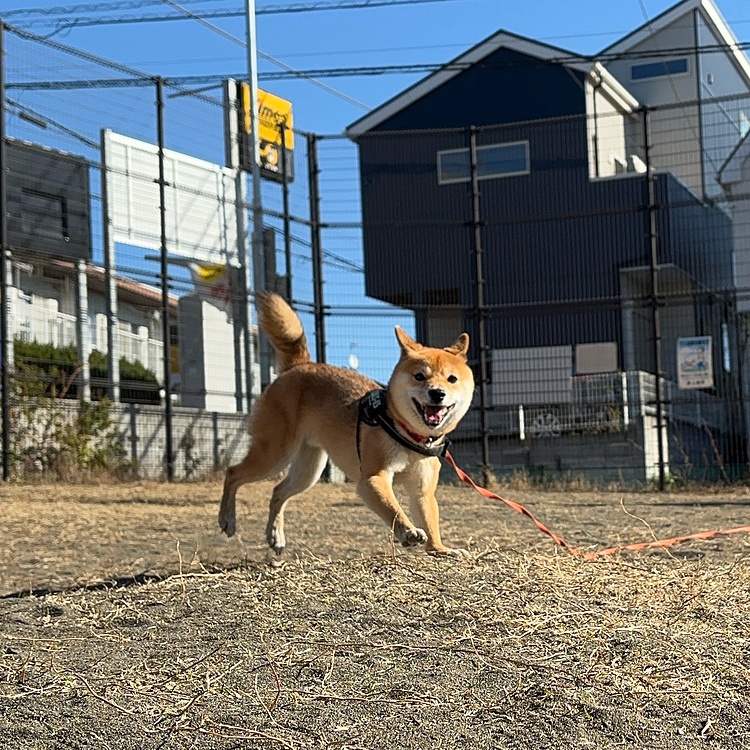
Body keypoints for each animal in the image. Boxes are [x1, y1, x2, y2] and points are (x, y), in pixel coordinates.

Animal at [219, 294, 476, 560]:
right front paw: (408, 531)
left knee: (277, 492)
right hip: (275, 454)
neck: (407, 433)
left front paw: (440, 549)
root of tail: (299, 365)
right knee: (233, 473)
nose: (437, 393)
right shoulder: (373, 478)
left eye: (451, 379)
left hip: (308, 470)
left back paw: (276, 537)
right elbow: (393, 508)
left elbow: (430, 520)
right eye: (419, 377)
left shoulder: (422, 490)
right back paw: (227, 520)